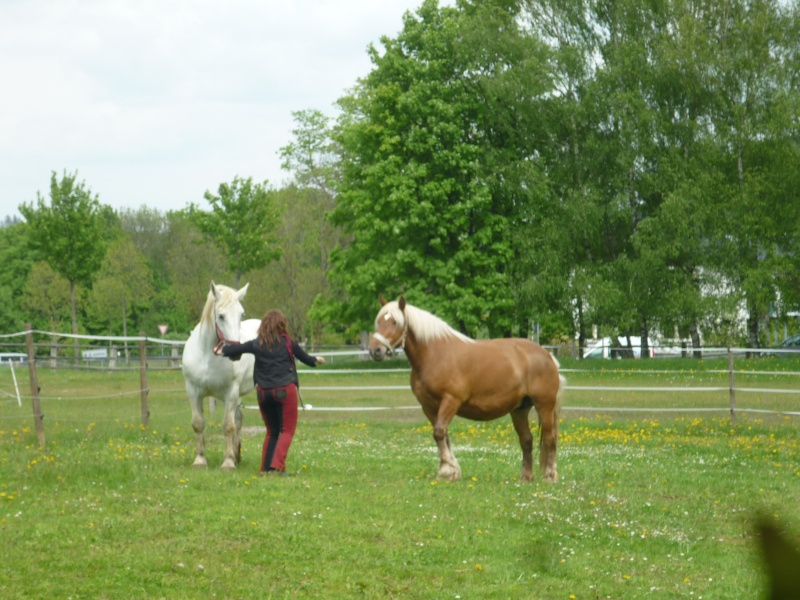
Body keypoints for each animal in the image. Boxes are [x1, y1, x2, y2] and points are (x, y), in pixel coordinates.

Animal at [181, 284, 260, 472]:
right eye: (221, 316)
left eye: (241, 314)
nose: (236, 352)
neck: (207, 356)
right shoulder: (193, 392)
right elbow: (198, 424)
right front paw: (200, 460)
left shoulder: (230, 393)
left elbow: (228, 426)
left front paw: (228, 462)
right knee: (239, 419)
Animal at [368, 296, 564, 482]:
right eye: (379, 321)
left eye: (395, 322)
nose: (375, 350)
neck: (435, 355)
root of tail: (547, 355)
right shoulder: (428, 406)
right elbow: (443, 435)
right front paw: (450, 470)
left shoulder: (451, 400)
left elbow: (439, 432)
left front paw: (446, 471)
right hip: (519, 410)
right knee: (526, 440)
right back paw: (526, 477)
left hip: (544, 405)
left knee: (549, 438)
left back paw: (549, 476)